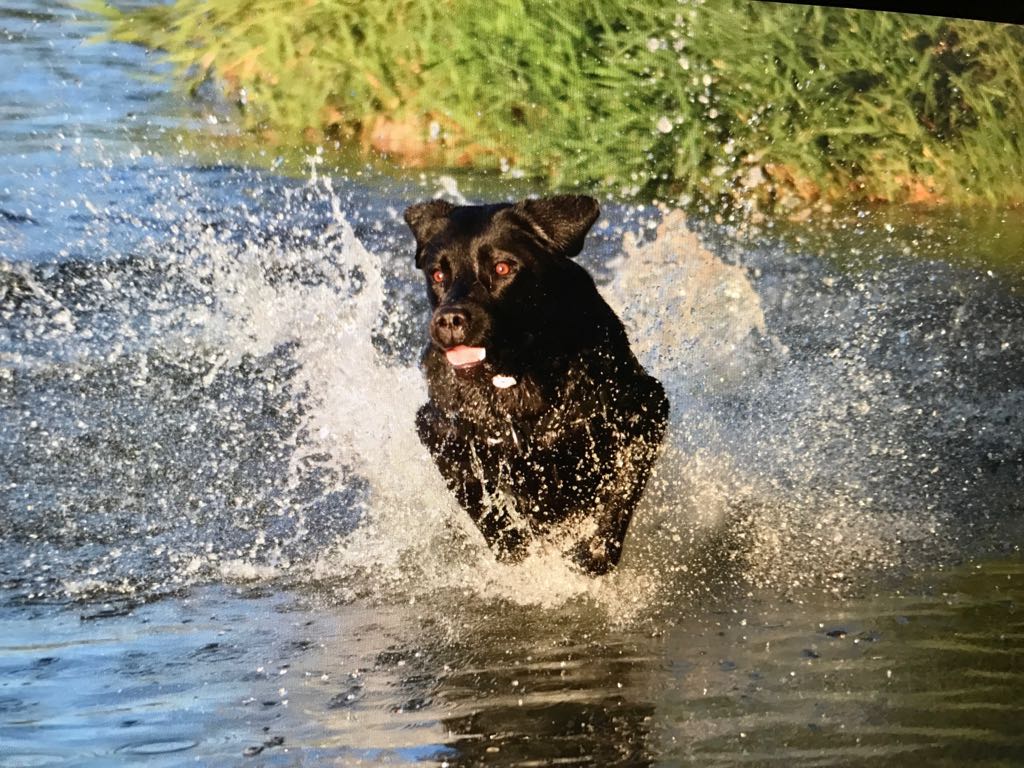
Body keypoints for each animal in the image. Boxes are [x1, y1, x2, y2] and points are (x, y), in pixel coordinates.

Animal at [405, 195, 668, 574]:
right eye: (438, 274)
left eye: (502, 268)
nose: (450, 319)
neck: (517, 374)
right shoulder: (438, 429)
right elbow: (481, 504)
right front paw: (517, 555)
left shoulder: (646, 405)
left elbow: (623, 489)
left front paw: (596, 554)